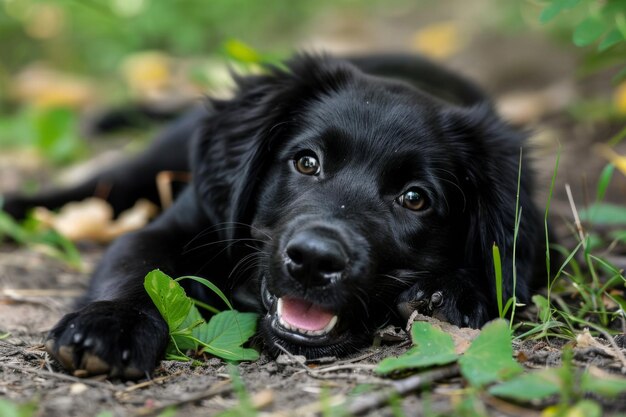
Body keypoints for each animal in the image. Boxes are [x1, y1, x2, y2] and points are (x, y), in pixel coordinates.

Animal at [2, 53, 544, 378]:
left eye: (415, 198)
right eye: (306, 162)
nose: (314, 260)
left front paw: (453, 293)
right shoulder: (178, 224)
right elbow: (139, 267)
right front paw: (111, 325)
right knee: (99, 186)